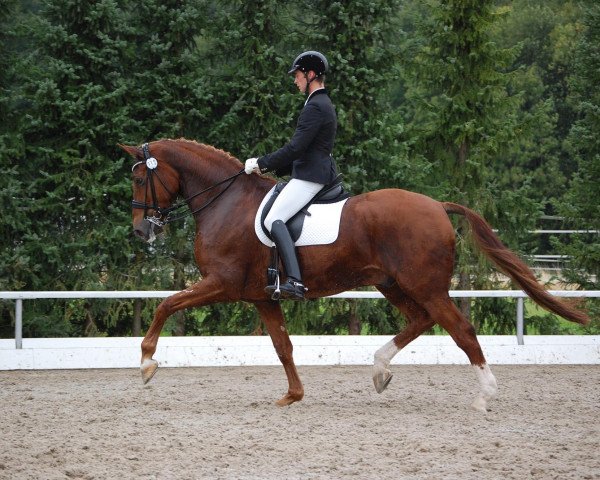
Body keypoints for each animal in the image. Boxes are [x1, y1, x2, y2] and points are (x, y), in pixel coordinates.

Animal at [119, 138, 588, 412]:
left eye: (141, 179)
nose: (142, 231)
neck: (224, 201)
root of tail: (438, 205)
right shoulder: (262, 296)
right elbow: (283, 346)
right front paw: (293, 395)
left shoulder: (222, 283)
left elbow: (165, 305)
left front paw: (146, 363)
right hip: (391, 283)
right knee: (422, 321)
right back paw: (380, 371)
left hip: (426, 286)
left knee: (461, 329)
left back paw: (484, 394)